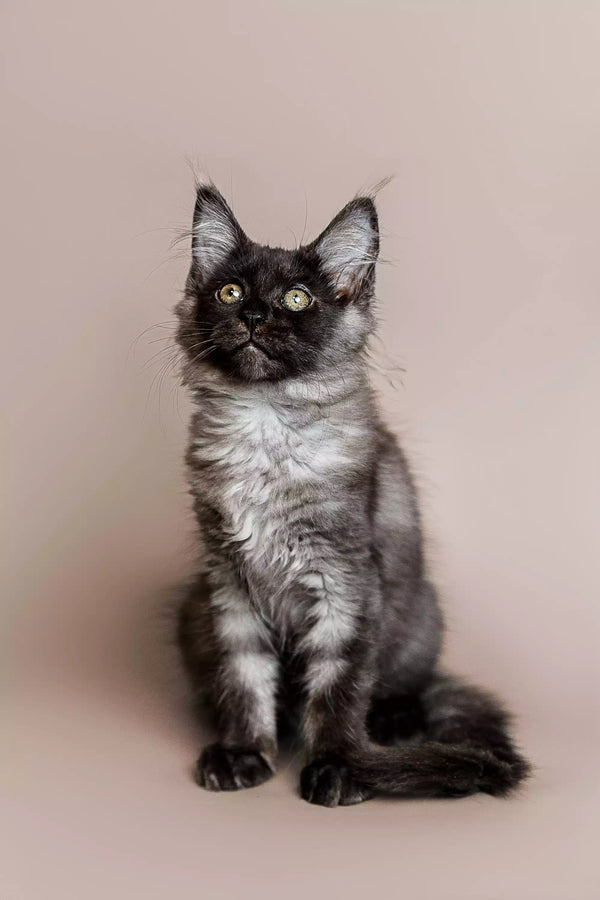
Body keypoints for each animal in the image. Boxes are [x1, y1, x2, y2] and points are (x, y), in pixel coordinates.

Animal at [175, 183, 528, 808]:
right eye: (230, 292)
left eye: (296, 299)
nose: (254, 315)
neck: (264, 428)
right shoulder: (229, 583)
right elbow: (244, 676)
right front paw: (243, 752)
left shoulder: (345, 579)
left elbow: (338, 687)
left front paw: (339, 766)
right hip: (190, 608)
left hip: (418, 620)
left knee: (408, 688)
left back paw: (391, 720)